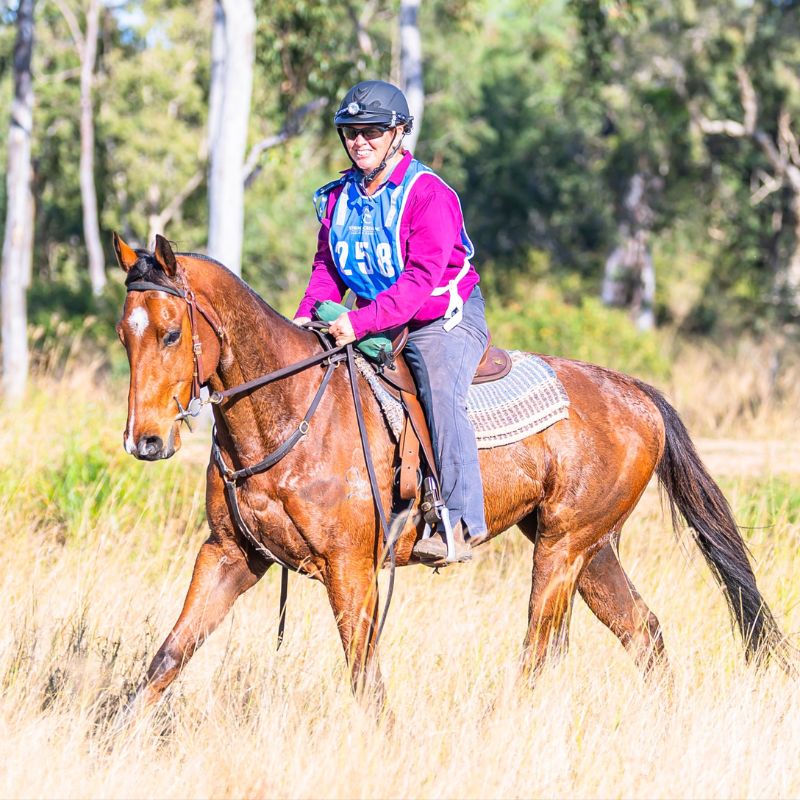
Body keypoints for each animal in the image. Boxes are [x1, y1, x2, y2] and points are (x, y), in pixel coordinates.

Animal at [114, 233, 792, 712]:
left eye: (171, 333)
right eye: (126, 335)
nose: (146, 440)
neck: (290, 410)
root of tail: (637, 394)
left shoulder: (349, 568)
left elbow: (364, 678)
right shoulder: (229, 555)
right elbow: (167, 659)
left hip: (563, 548)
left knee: (539, 651)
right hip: (591, 550)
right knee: (643, 632)